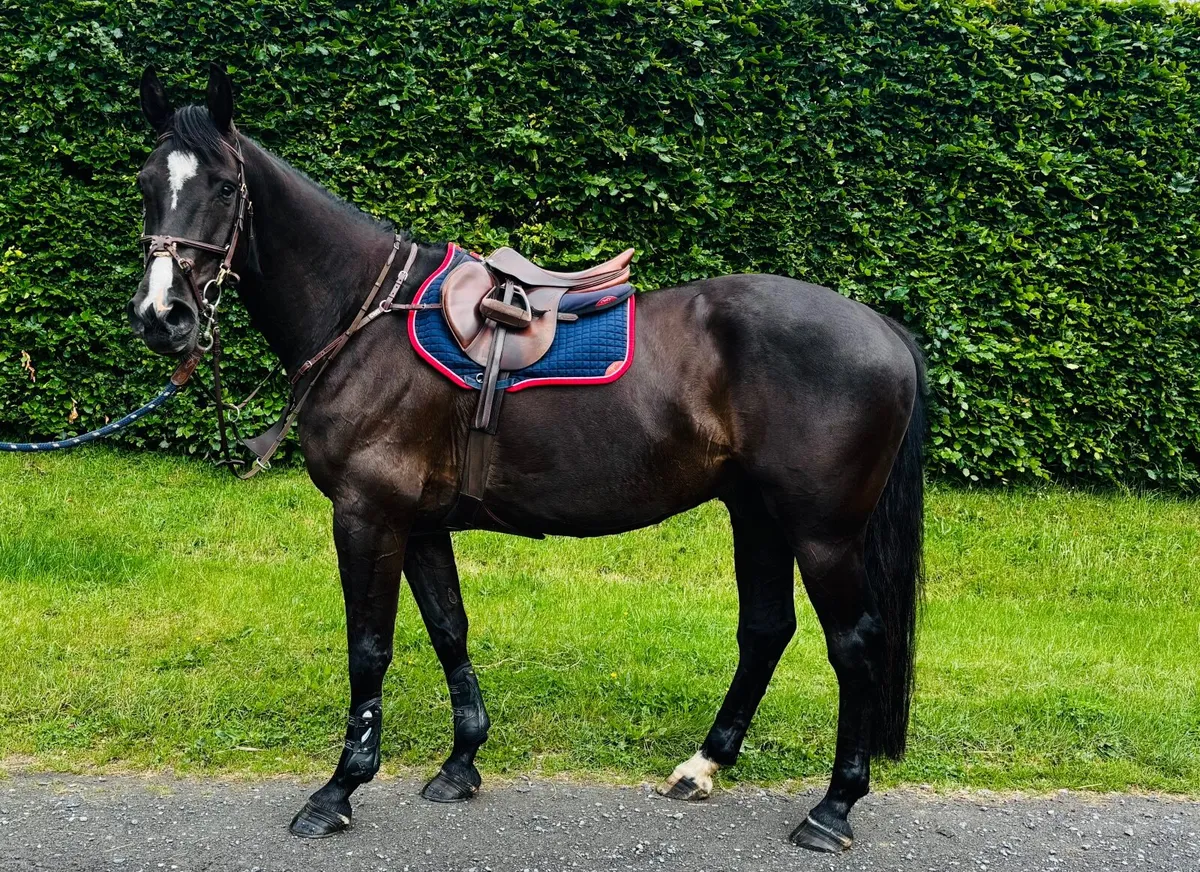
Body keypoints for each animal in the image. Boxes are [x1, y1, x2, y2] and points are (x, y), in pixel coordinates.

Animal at [126, 64, 926, 854]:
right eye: (145, 183)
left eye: (224, 187)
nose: (162, 317)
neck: (365, 321)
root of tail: (882, 327)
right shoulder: (419, 524)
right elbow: (449, 627)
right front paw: (461, 762)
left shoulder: (367, 515)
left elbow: (369, 648)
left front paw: (338, 792)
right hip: (755, 512)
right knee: (765, 629)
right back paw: (703, 765)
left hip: (821, 533)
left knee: (854, 645)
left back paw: (833, 808)